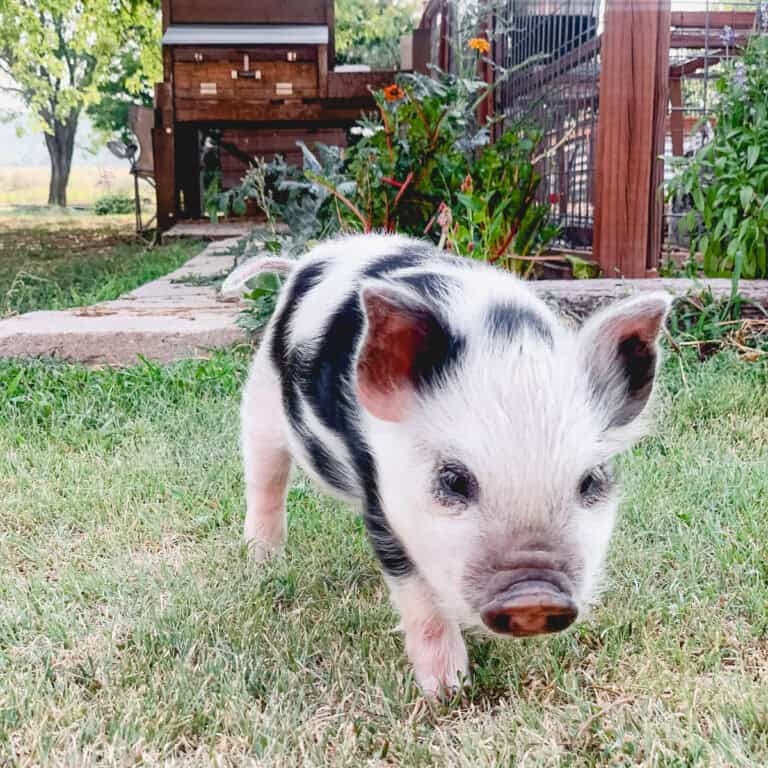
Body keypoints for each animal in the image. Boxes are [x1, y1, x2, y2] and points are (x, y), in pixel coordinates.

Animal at [229, 233, 671, 696]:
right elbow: (420, 598)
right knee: (264, 477)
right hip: (261, 396)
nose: (534, 596)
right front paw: (446, 690)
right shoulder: (381, 495)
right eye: (455, 480)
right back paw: (262, 561)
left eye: (590, 480)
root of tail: (304, 261)